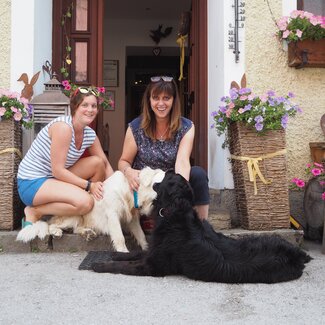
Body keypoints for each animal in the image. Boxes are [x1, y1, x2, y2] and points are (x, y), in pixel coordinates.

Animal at [16, 167, 165, 251]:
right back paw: (57, 231)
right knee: (50, 225)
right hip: (75, 213)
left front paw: (146, 248)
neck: (130, 191)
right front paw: (123, 252)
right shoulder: (113, 215)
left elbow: (141, 235)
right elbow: (120, 237)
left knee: (76, 229)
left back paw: (88, 233)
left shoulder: (132, 219)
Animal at [92, 171, 312, 282]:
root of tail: (297, 255)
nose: (171, 169)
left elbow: (123, 266)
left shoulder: (153, 265)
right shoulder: (153, 250)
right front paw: (115, 254)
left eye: (170, 178)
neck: (176, 215)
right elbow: (133, 253)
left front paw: (99, 265)